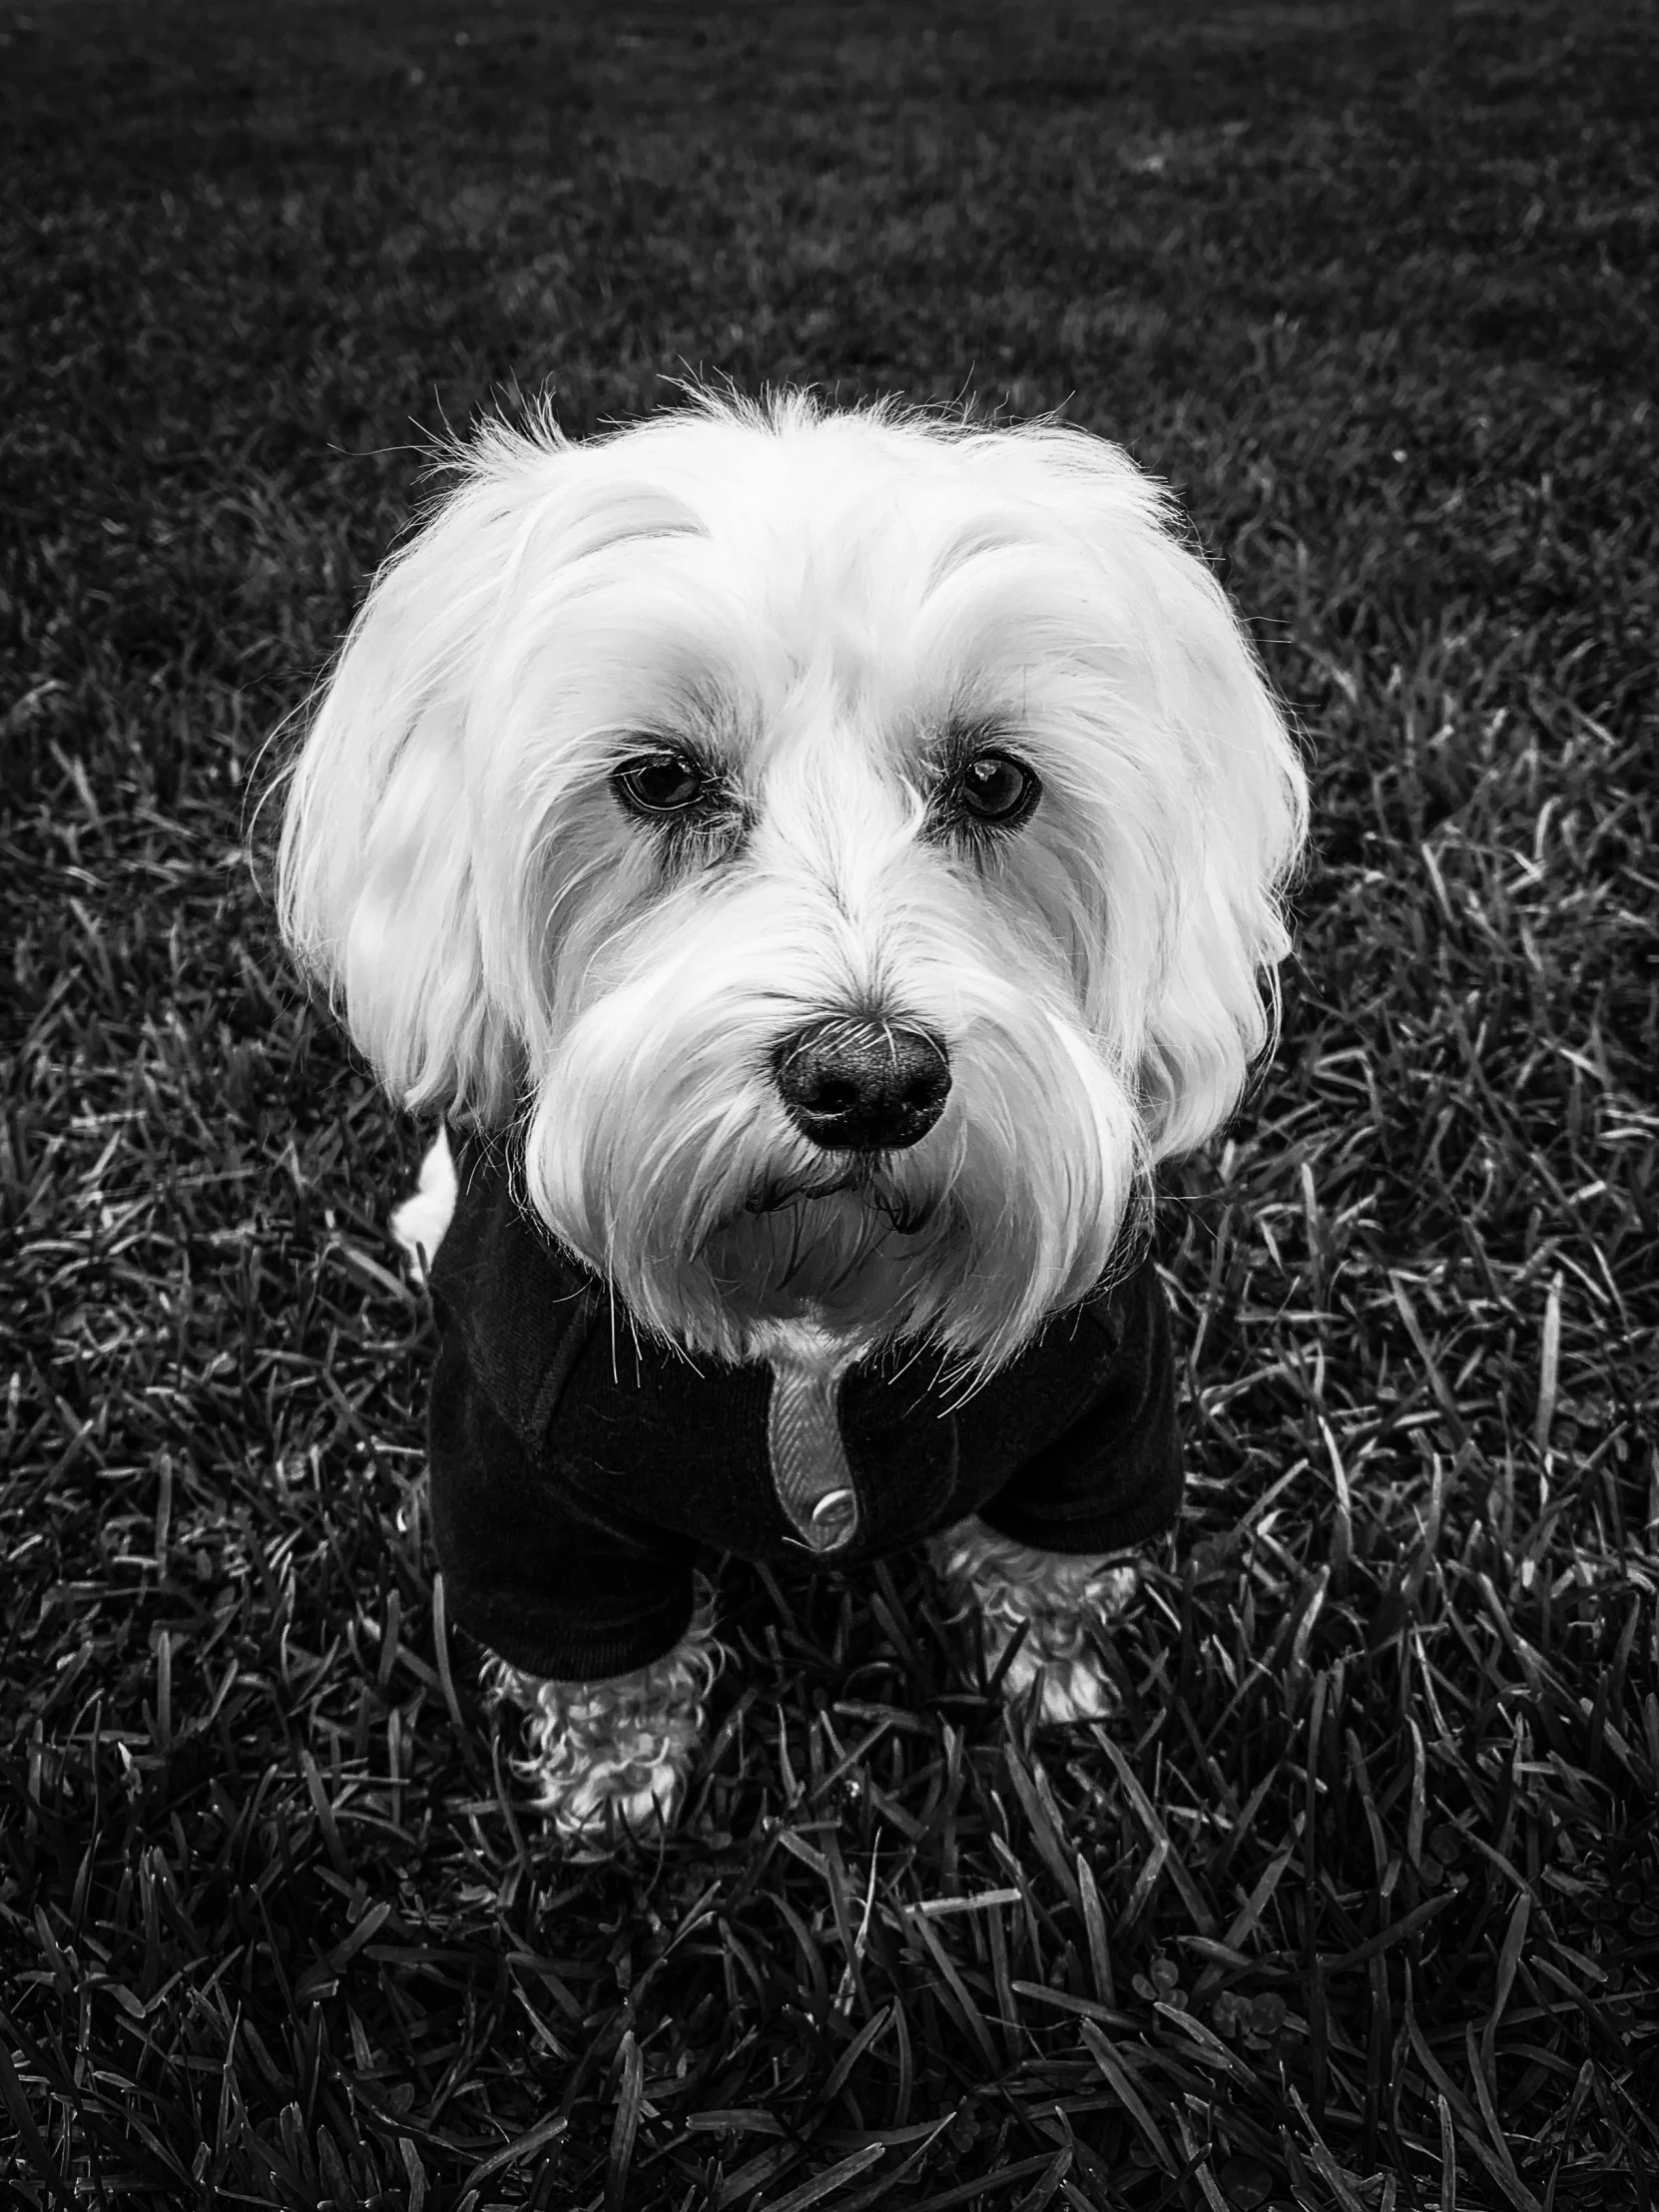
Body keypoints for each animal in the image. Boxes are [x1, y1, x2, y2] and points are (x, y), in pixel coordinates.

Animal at [276, 389, 1309, 1840]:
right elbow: (604, 1676)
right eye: (659, 781)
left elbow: (1048, 1573)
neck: (816, 1313)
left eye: (995, 783)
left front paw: (1055, 1693)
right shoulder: (526, 1492)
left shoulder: (1103, 1408)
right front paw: (614, 1795)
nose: (870, 1081)